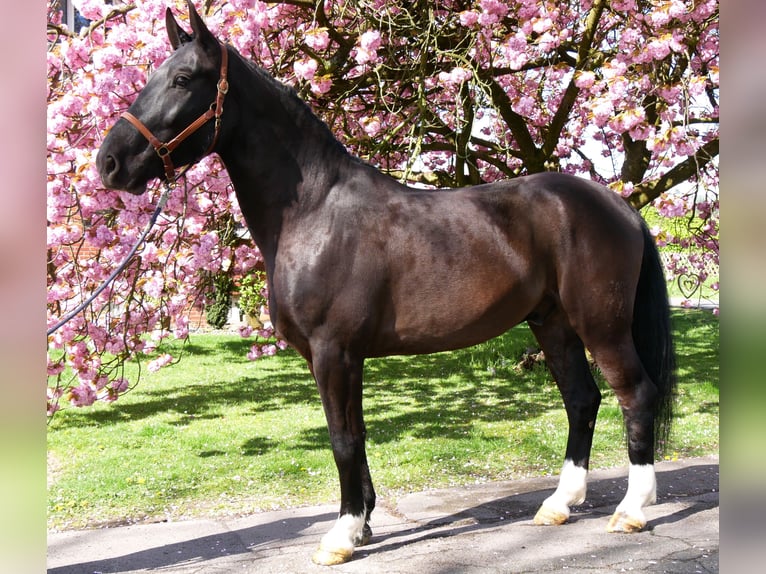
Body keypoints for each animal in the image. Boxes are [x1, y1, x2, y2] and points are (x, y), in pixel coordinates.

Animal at [96, 1, 676, 566]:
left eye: (183, 79)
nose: (109, 163)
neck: (314, 213)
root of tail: (618, 205)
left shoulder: (334, 351)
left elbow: (343, 440)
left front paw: (341, 535)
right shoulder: (338, 356)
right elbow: (357, 434)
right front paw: (364, 522)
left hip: (601, 325)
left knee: (636, 394)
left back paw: (631, 510)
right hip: (552, 323)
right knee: (582, 400)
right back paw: (558, 505)